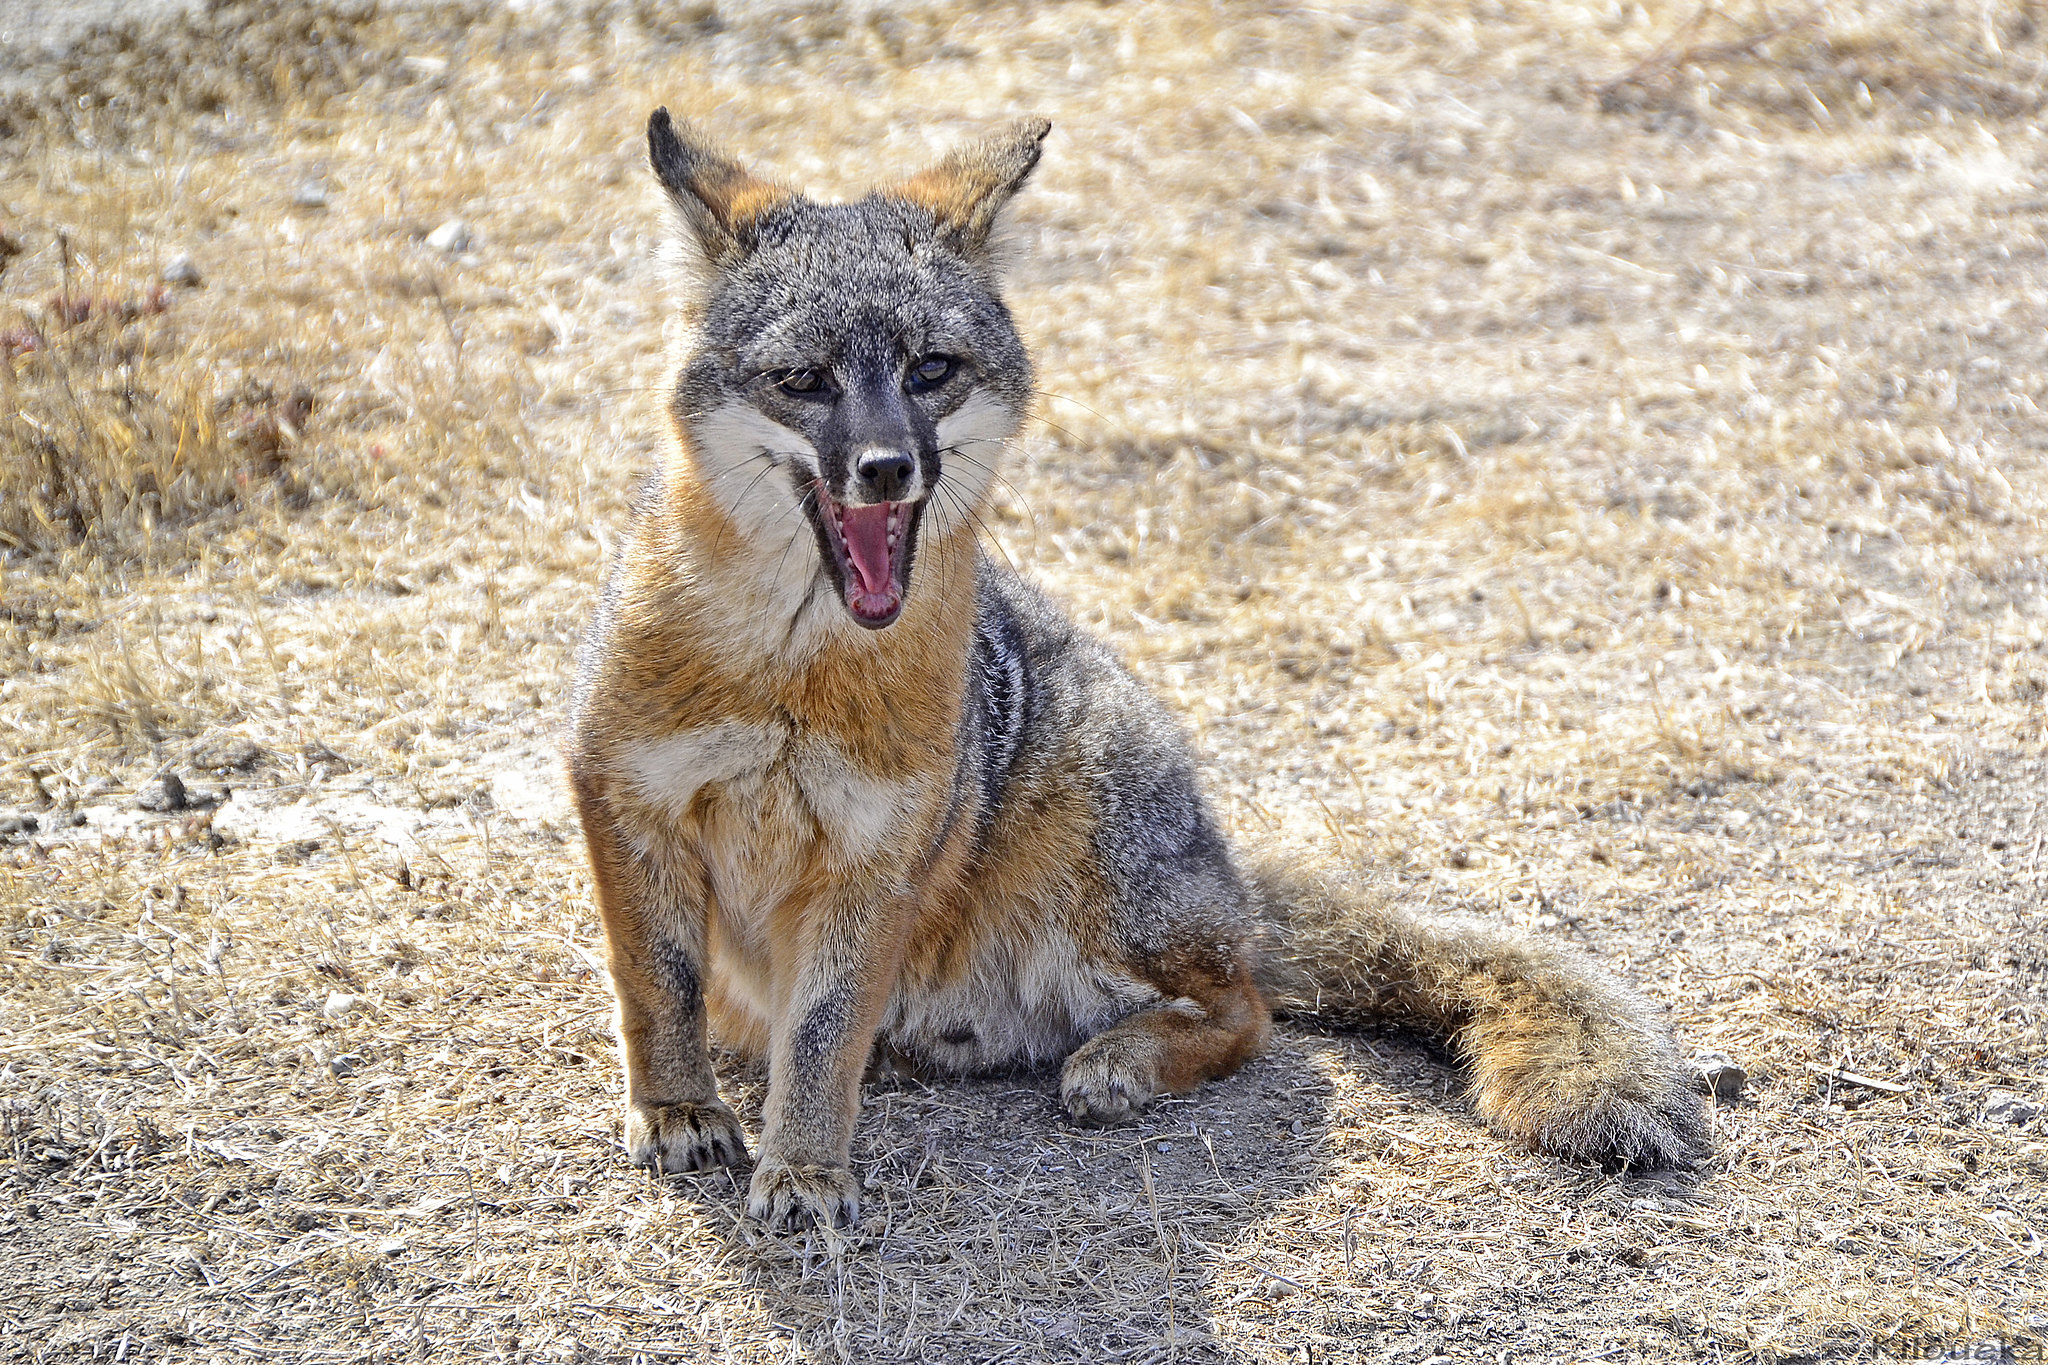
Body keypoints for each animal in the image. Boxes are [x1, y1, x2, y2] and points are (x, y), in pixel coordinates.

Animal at [564, 109, 1712, 1232]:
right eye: (804, 381)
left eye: (931, 370)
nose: (888, 469)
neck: (787, 680)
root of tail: (1229, 869)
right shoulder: (623, 801)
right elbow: (657, 987)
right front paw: (678, 1110)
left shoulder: (876, 854)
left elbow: (821, 1032)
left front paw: (804, 1165)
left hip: (1093, 874)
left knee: (1248, 1007)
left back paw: (1115, 1061)